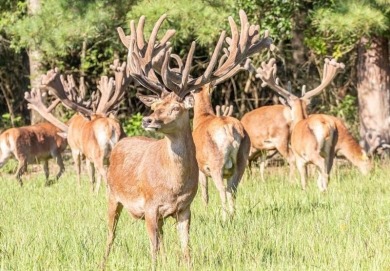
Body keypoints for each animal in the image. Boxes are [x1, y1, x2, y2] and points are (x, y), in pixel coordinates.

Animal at [24, 60, 128, 194]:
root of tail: (112, 128)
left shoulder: (77, 149)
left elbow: (82, 172)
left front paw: (82, 190)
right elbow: (93, 176)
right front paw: (94, 192)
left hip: (98, 154)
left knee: (105, 175)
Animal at [100, 10, 272, 270]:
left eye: (175, 108)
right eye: (156, 106)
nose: (148, 119)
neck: (173, 184)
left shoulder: (184, 208)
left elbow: (185, 249)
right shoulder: (150, 205)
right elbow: (153, 249)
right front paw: (154, 264)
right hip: (112, 193)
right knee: (110, 234)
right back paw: (104, 261)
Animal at [256, 58, 344, 192]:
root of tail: (325, 126)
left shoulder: (299, 159)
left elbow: (304, 180)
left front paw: (305, 190)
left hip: (311, 150)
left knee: (321, 167)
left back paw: (323, 189)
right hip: (331, 151)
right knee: (328, 170)